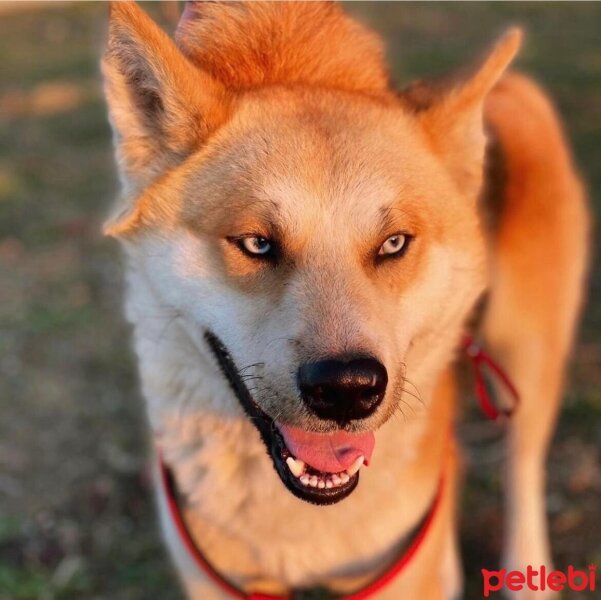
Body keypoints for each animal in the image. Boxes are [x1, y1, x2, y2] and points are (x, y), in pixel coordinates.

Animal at [101, 2, 588, 596]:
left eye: (394, 243)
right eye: (256, 243)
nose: (347, 390)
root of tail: (512, 88)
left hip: (528, 360)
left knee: (523, 465)